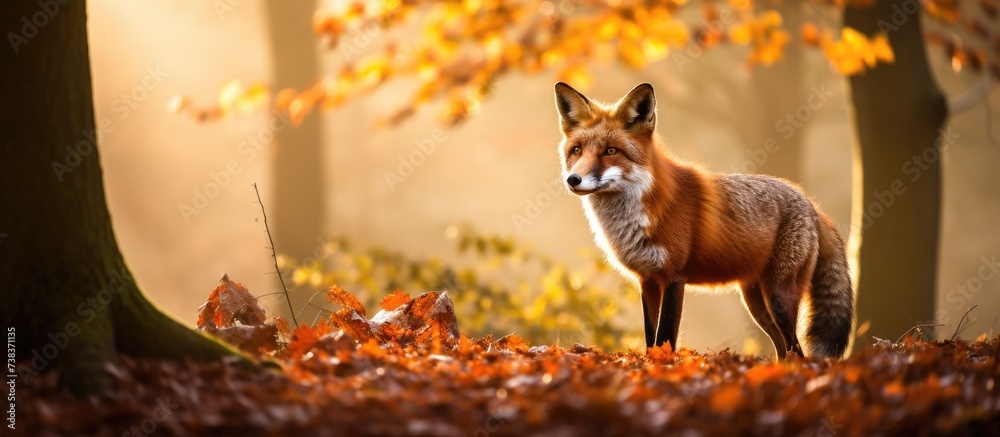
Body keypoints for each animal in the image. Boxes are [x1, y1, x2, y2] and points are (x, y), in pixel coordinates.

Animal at [554, 82, 855, 359]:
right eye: (577, 150)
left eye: (611, 151)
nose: (573, 180)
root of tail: (812, 203)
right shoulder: (647, 280)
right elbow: (651, 340)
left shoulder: (674, 277)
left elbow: (666, 337)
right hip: (757, 304)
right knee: (785, 350)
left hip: (778, 298)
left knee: (797, 350)